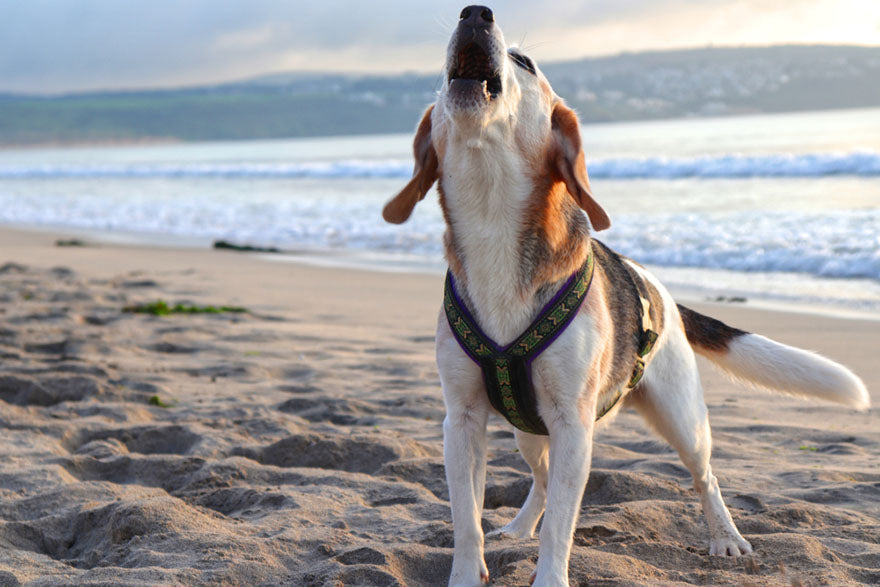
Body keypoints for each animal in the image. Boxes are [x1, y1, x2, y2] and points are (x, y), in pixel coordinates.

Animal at [382, 5, 868, 587]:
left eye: (524, 62)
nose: (475, 13)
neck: (491, 215)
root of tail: (660, 290)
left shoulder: (573, 426)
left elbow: (560, 527)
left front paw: (549, 576)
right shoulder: (462, 421)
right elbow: (466, 523)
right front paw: (468, 569)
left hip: (682, 418)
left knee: (705, 476)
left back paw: (725, 537)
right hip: (528, 430)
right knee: (540, 480)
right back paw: (518, 528)